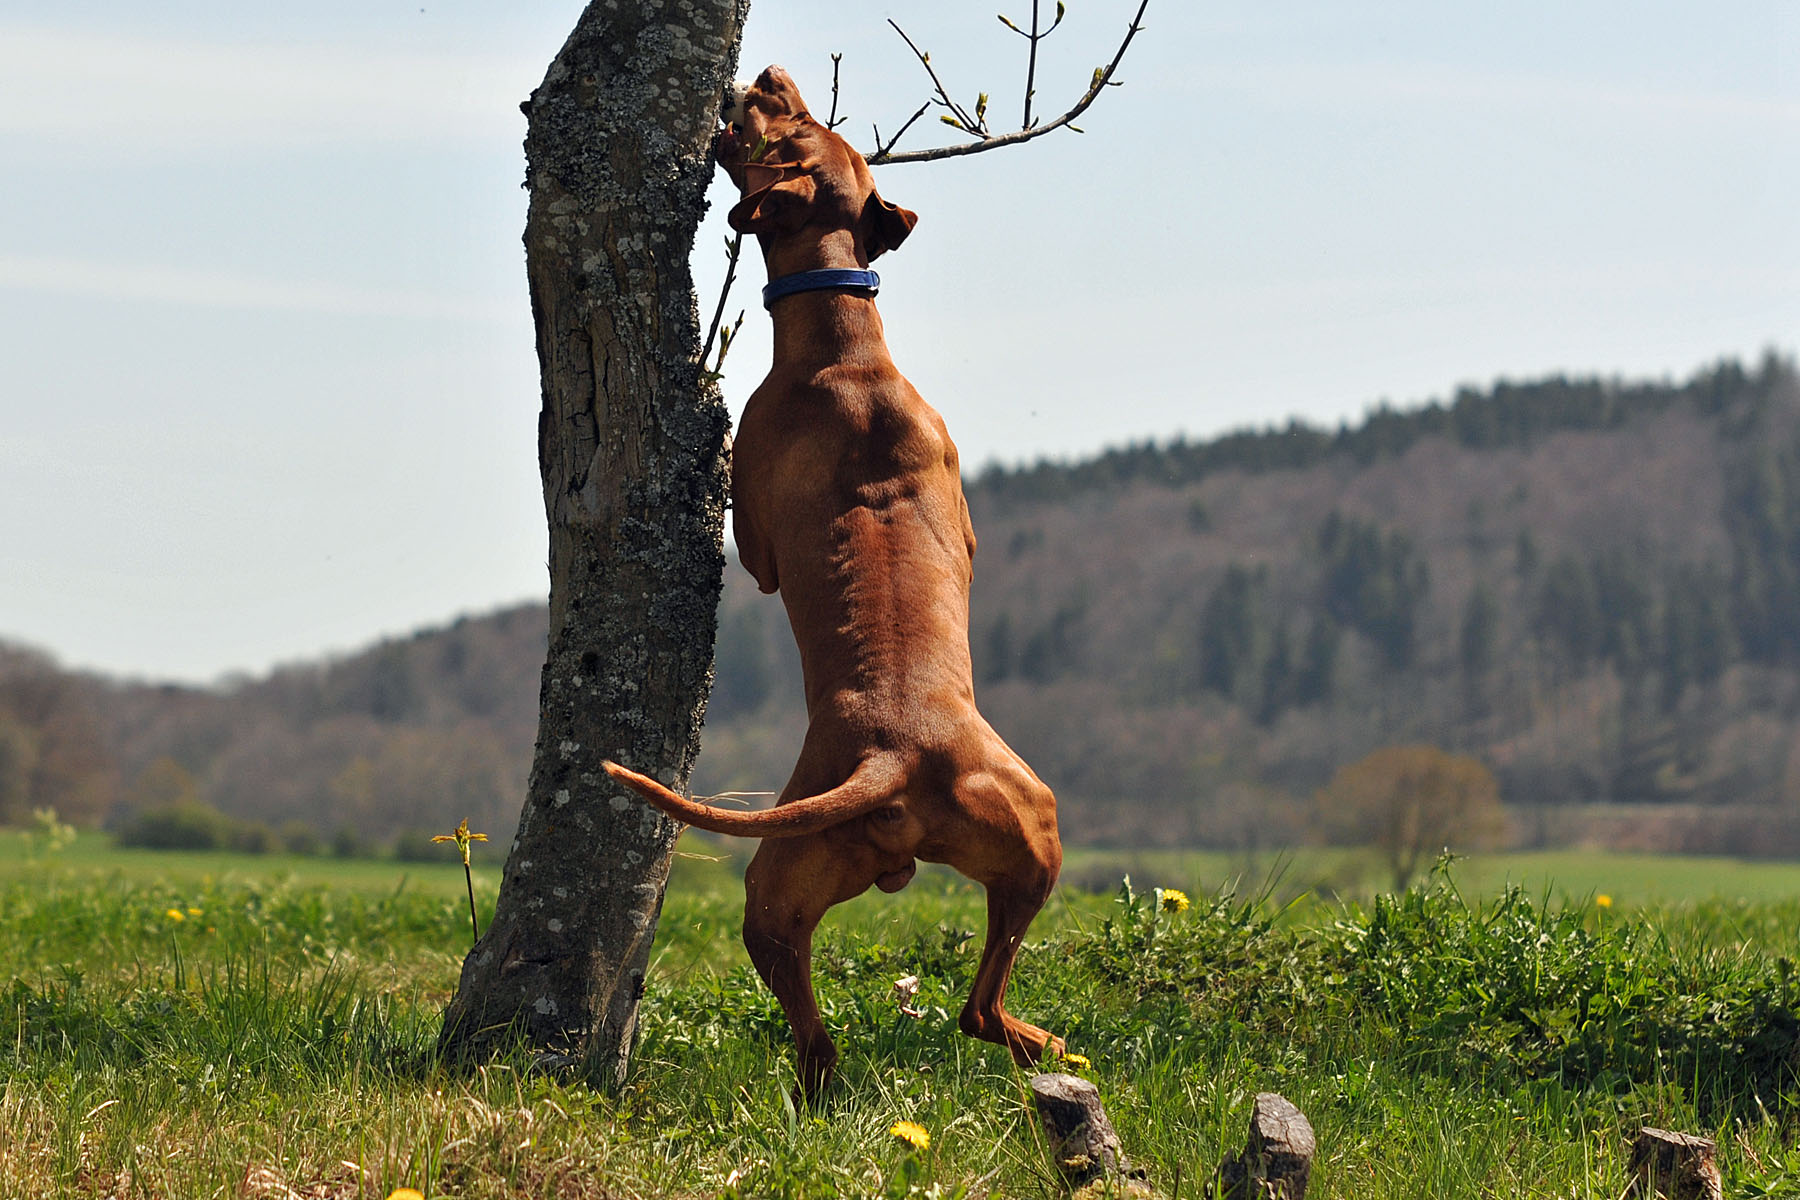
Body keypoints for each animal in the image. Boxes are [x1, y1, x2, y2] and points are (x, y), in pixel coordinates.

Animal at [604, 63, 1058, 1101]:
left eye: (791, 129)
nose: (771, 74)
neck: (845, 346)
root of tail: (894, 759)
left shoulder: (760, 544)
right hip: (969, 857)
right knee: (930, 1018)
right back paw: (1036, 1047)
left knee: (889, 1025)